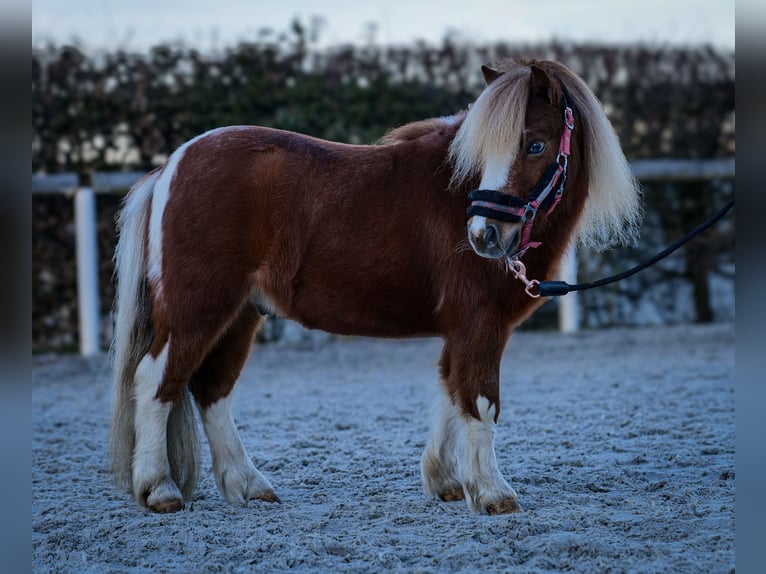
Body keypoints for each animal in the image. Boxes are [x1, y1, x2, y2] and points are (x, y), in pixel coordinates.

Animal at [111, 58, 640, 516]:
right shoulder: (481, 323)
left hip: (239, 315)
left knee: (211, 389)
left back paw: (249, 486)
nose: (483, 236)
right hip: (197, 308)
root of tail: (172, 165)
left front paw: (447, 481)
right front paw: (492, 493)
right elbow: (480, 400)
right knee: (156, 380)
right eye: (487, 151)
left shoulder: (460, 329)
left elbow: (451, 390)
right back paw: (160, 489)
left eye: (535, 145)